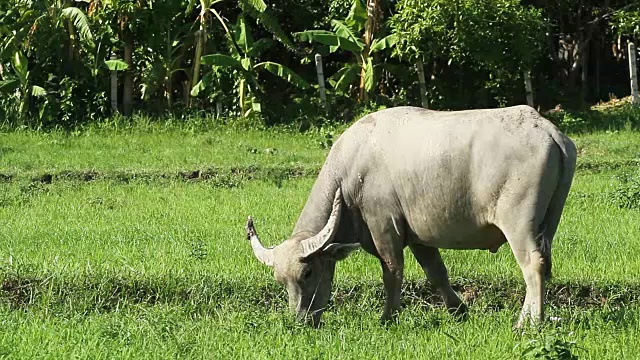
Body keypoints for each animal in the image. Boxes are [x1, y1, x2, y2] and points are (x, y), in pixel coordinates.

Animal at [244, 105, 576, 328]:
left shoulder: (384, 228)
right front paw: (458, 312)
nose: (300, 321)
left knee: (532, 265)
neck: (350, 176)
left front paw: (387, 317)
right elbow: (436, 272)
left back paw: (528, 323)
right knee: (543, 265)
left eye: (308, 273)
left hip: (519, 223)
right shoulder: (418, 236)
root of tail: (547, 130)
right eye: (280, 280)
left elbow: (392, 272)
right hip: (549, 222)